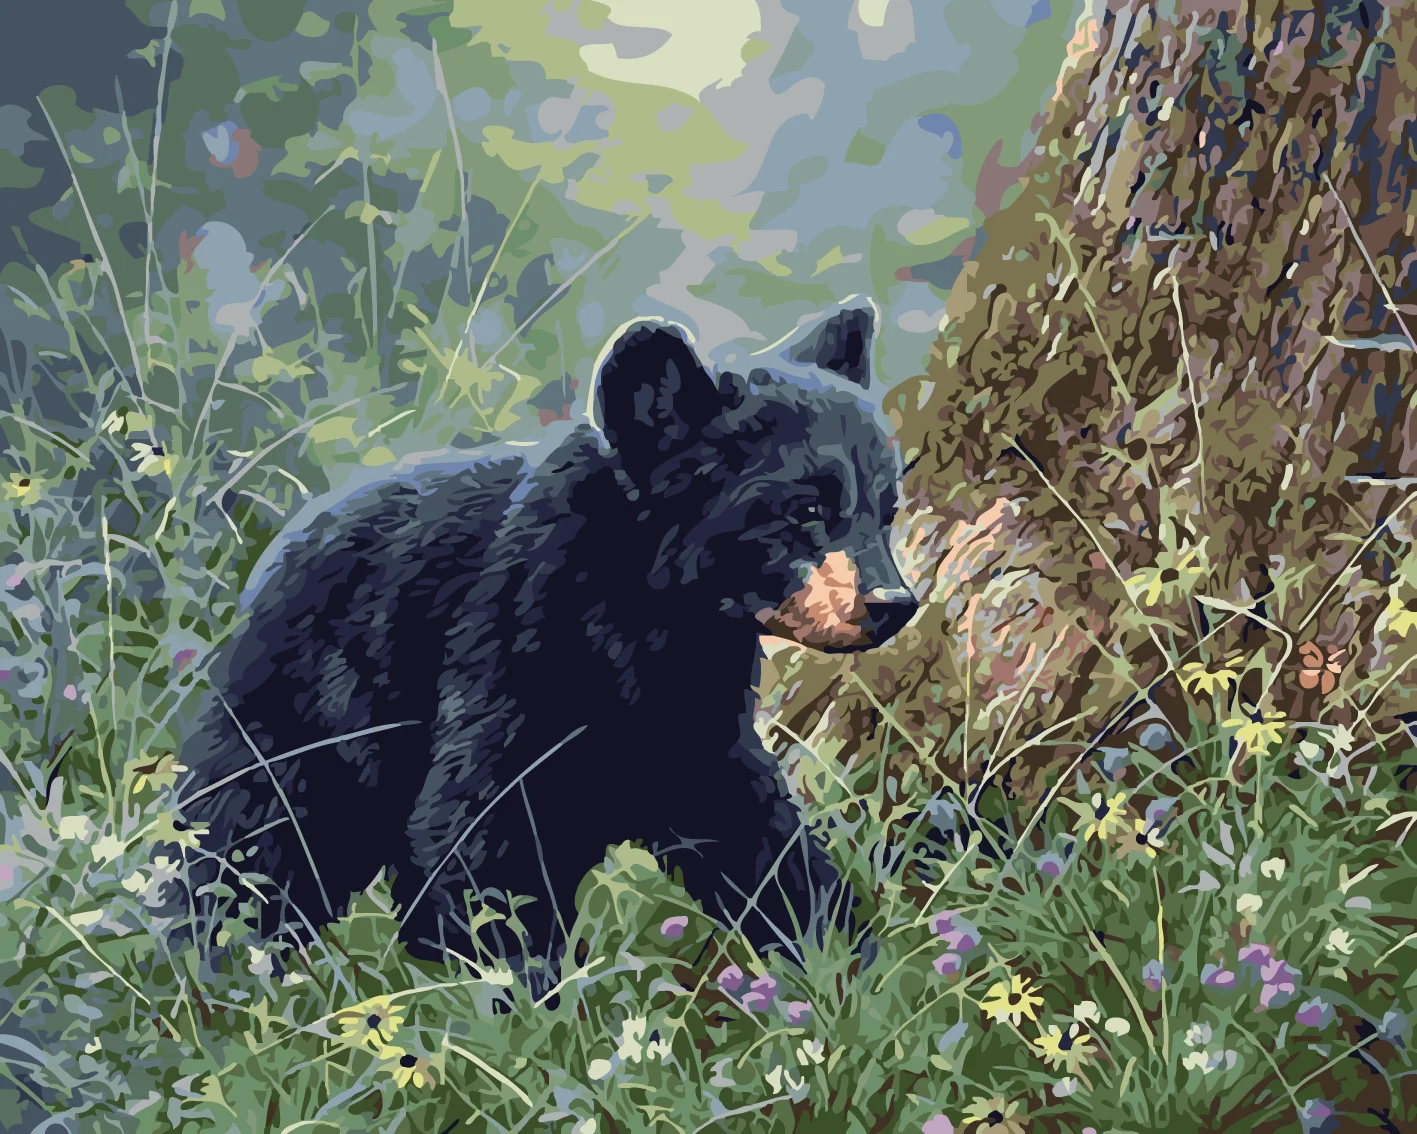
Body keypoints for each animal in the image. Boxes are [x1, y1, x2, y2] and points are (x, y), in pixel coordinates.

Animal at [180, 300, 918, 964]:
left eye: (886, 509)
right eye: (804, 509)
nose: (893, 603)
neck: (655, 618)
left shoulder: (694, 718)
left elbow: (751, 828)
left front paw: (841, 958)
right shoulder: (514, 647)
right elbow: (477, 833)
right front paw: (520, 995)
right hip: (307, 719)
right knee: (247, 843)